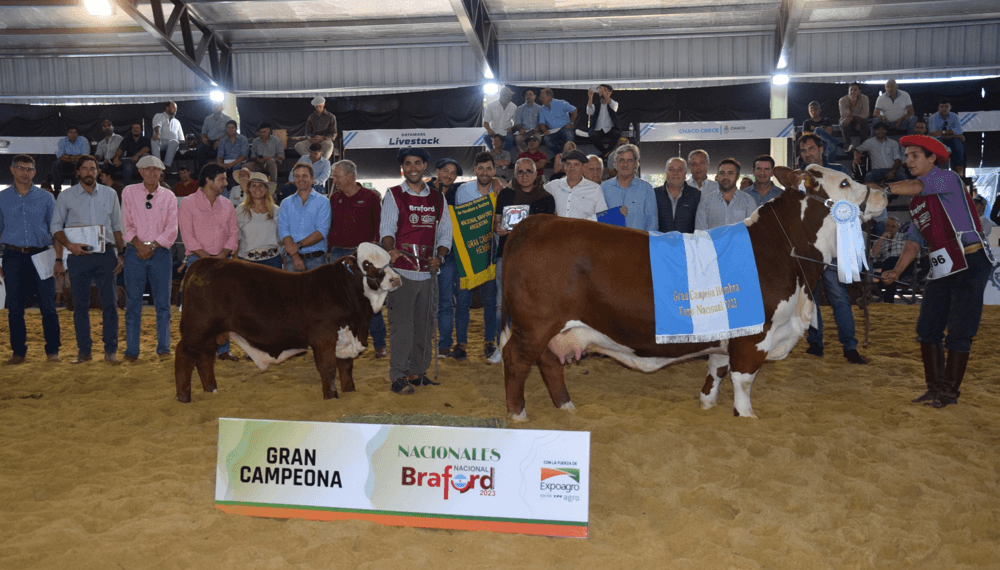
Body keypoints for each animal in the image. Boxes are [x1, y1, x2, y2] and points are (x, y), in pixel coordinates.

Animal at [174, 242, 400, 402]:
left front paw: (350, 392)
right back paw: (184, 398)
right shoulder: (324, 339)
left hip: (213, 333)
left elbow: (346, 368)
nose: (396, 279)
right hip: (198, 329)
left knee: (205, 358)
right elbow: (327, 369)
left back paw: (211, 390)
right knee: (185, 354)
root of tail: (203, 263)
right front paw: (331, 397)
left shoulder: (345, 338)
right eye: (367, 263)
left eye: (390, 261)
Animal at [498, 164, 884, 418]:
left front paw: (707, 403)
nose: (883, 192)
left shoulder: (726, 335)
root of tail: (536, 223)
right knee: (516, 360)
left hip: (552, 327)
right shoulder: (754, 337)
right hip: (535, 324)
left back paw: (566, 407)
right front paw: (746, 417)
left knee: (549, 362)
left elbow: (717, 370)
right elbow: (743, 381)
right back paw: (518, 415)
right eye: (845, 182)